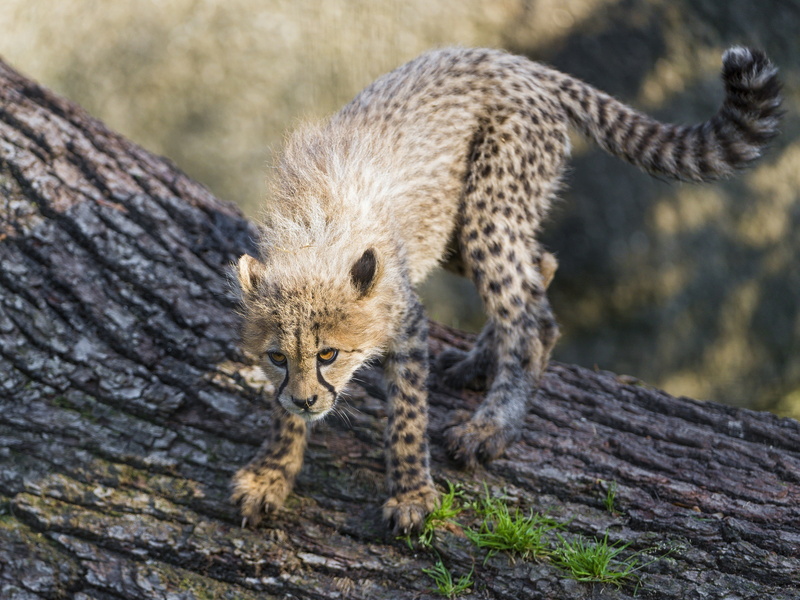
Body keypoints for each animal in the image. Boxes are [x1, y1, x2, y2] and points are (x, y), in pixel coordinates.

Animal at [231, 45, 781, 534]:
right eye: (278, 357)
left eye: (328, 354)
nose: (307, 400)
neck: (314, 235)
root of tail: (515, 61)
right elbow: (280, 412)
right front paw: (271, 473)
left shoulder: (405, 317)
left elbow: (406, 416)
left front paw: (411, 495)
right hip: (455, 228)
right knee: (539, 265)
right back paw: (479, 363)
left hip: (488, 207)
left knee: (532, 318)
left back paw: (492, 424)